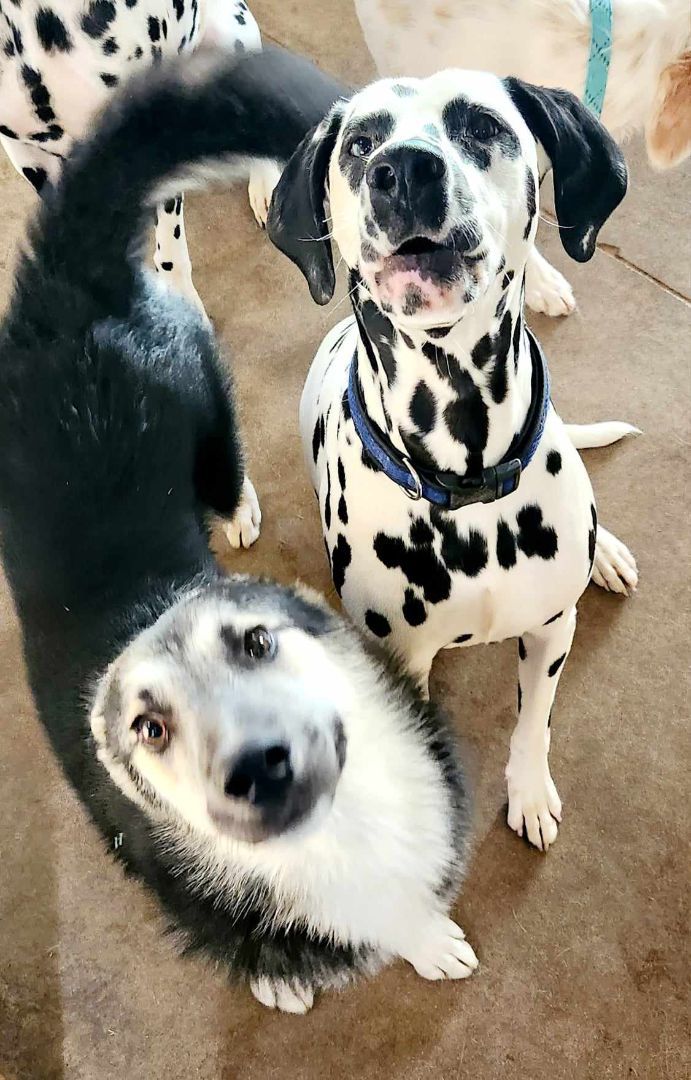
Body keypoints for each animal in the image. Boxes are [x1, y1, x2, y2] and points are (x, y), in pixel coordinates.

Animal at [267, 71, 639, 855]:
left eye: (480, 124)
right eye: (359, 143)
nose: (404, 170)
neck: (468, 489)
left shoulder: (550, 629)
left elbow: (533, 726)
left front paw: (529, 792)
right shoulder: (404, 663)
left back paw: (609, 554)